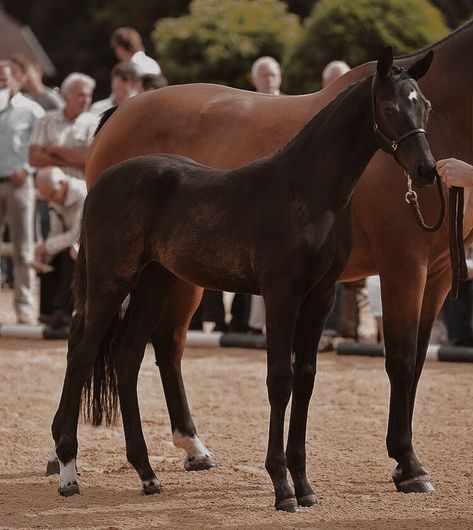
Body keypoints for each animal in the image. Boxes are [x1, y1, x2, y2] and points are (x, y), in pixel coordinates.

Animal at [51, 47, 436, 510]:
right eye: (392, 107)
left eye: (426, 105)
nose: (427, 170)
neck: (306, 190)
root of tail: (102, 181)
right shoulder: (281, 294)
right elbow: (280, 379)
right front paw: (283, 489)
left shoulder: (320, 297)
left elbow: (306, 378)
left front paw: (305, 487)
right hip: (112, 280)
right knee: (82, 352)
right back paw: (68, 472)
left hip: (154, 282)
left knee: (126, 355)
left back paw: (146, 473)